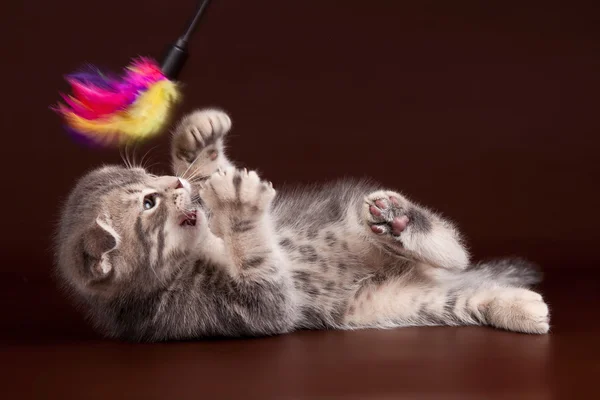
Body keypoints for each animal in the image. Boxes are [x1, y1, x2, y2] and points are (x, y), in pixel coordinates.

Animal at [54, 108, 552, 340]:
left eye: (150, 178)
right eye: (149, 202)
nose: (174, 181)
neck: (198, 248)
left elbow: (212, 177)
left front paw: (198, 141)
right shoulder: (239, 307)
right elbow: (263, 274)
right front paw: (240, 207)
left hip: (359, 230)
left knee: (453, 250)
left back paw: (400, 222)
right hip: (394, 305)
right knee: (464, 288)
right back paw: (522, 309)